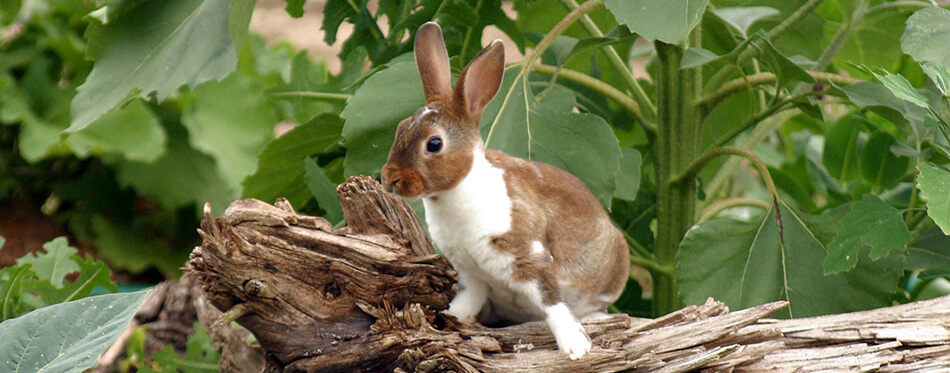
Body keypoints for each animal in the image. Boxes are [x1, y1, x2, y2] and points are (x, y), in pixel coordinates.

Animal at [380, 21, 632, 358]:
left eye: (434, 144)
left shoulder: (529, 256)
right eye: (399, 129)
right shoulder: (471, 272)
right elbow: (468, 300)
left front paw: (575, 347)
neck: (457, 191)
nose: (390, 178)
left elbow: (552, 303)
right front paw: (450, 317)